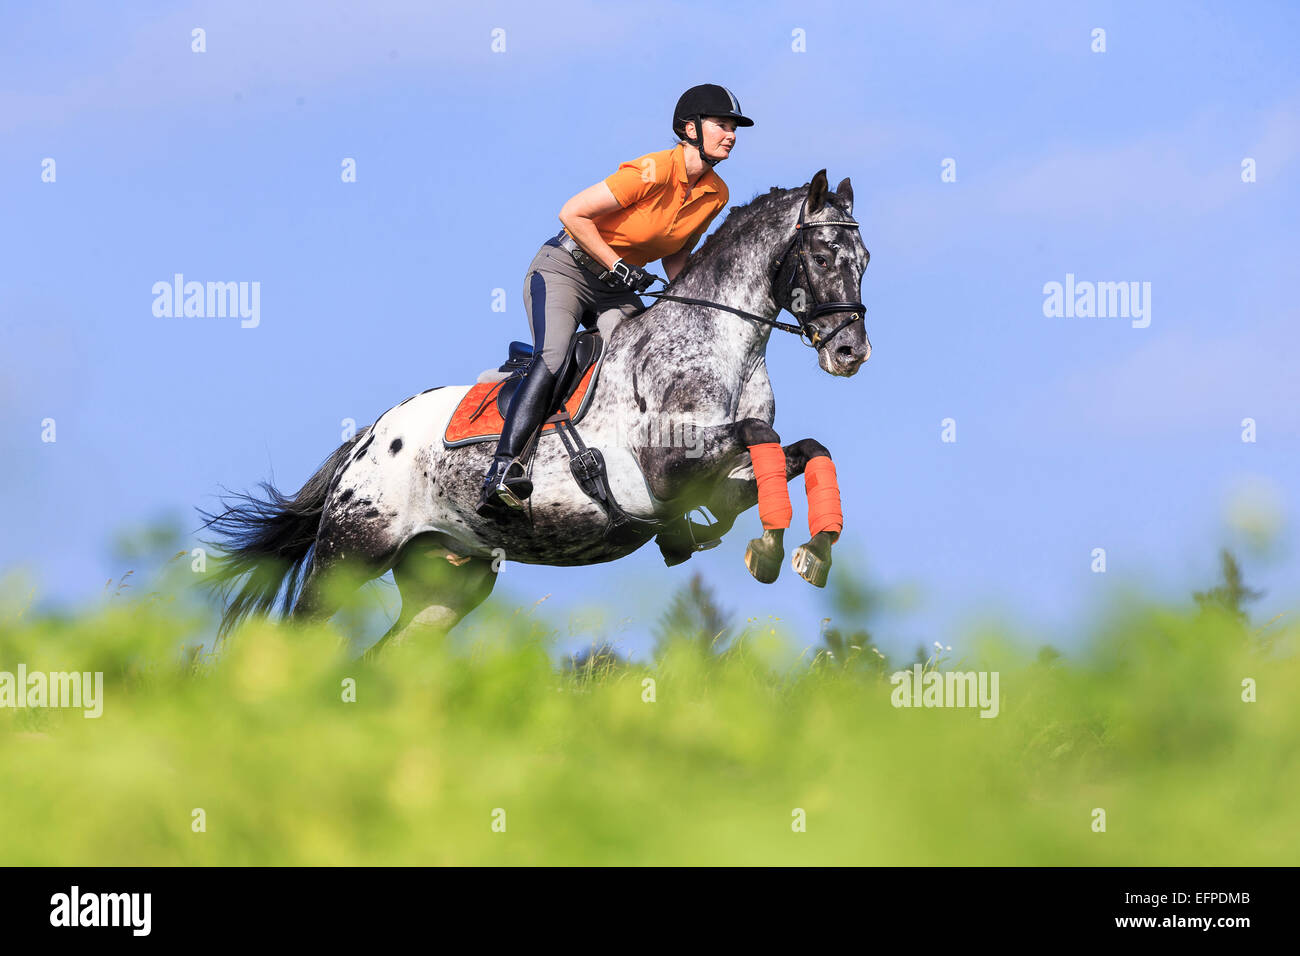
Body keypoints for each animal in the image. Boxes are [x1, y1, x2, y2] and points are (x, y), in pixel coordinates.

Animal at [200, 168, 872, 653]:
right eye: (821, 256)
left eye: (864, 261)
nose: (850, 351)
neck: (720, 343)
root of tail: (366, 440)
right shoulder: (666, 470)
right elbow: (762, 431)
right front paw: (773, 548)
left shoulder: (722, 483)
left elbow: (805, 450)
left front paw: (812, 551)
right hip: (351, 554)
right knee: (298, 634)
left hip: (449, 584)